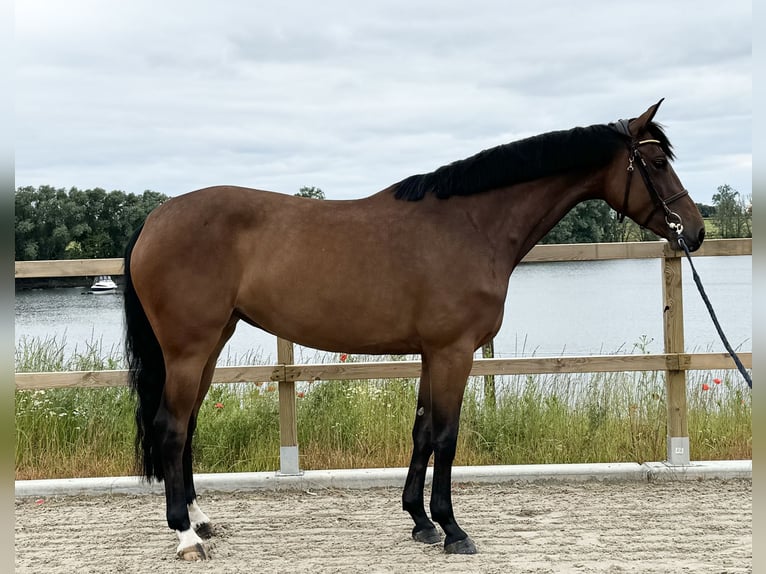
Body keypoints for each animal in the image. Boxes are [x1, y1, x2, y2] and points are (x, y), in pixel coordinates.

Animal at [124, 100, 708, 564]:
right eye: (657, 162)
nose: (697, 232)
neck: (471, 226)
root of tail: (155, 219)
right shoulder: (454, 353)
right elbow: (446, 436)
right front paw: (453, 530)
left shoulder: (433, 354)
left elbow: (422, 432)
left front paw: (420, 522)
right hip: (188, 350)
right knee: (171, 428)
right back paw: (186, 538)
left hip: (210, 346)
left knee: (188, 426)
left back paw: (201, 519)